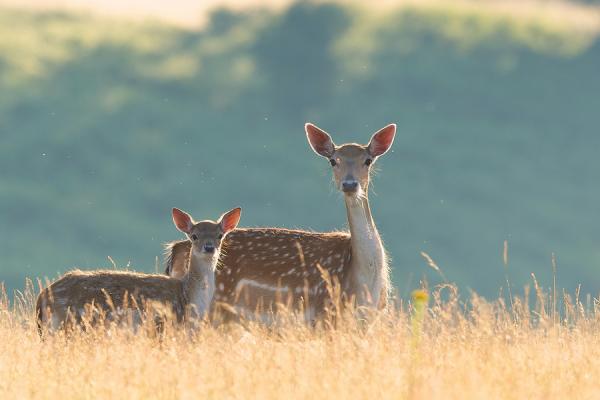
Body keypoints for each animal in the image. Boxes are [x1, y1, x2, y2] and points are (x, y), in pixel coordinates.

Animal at [35, 206, 239, 332]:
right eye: (194, 235)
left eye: (220, 235)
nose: (209, 247)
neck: (190, 300)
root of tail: (42, 297)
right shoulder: (162, 325)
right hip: (73, 323)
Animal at [166, 123, 396, 320]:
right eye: (333, 160)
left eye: (368, 160)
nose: (349, 184)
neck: (363, 283)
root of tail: (176, 250)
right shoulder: (323, 313)